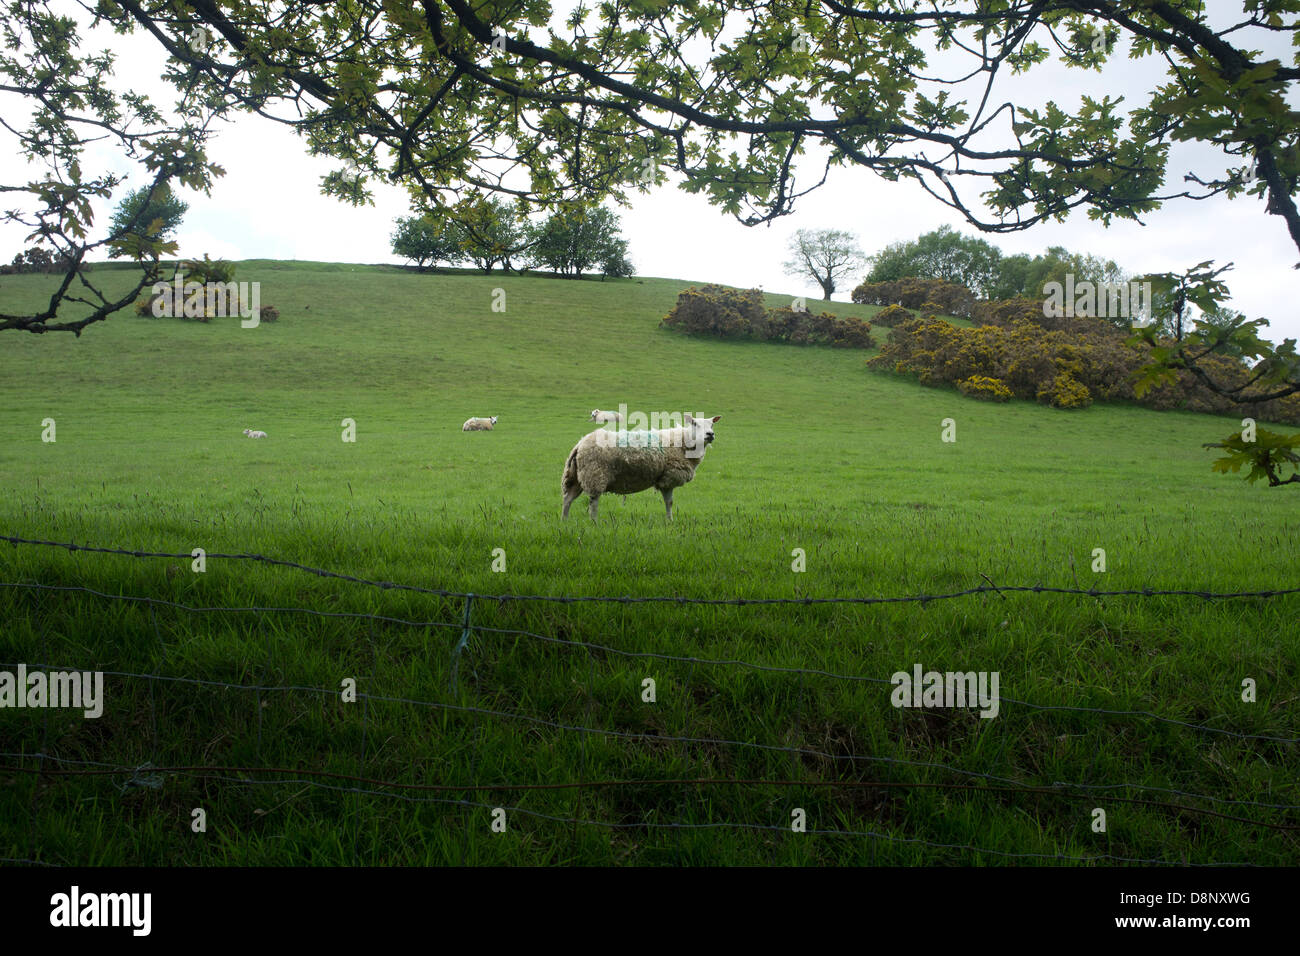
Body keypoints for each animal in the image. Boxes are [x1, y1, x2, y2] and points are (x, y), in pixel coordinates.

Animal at [562, 414, 721, 521]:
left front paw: (669, 521)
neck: (683, 440)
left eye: (712, 424)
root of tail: (580, 444)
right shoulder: (668, 478)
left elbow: (669, 502)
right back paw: (594, 522)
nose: (710, 434)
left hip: (577, 477)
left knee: (568, 499)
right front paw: (670, 521)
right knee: (593, 502)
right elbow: (669, 502)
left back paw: (565, 522)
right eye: (694, 423)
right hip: (595, 474)